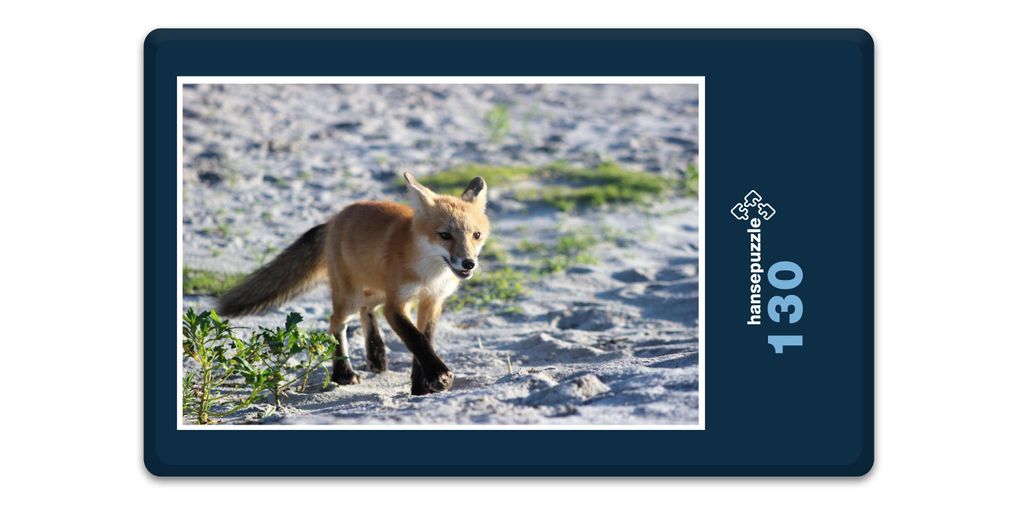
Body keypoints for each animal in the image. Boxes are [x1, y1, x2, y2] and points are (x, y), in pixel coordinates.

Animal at [217, 172, 490, 395]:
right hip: (351, 296)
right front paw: (437, 376)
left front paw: (421, 387)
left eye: (476, 235)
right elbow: (415, 340)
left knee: (366, 309)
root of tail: (334, 219)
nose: (468, 263)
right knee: (336, 322)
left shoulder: (432, 300)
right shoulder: (396, 303)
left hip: (376, 290)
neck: (430, 273)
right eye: (445, 235)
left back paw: (376, 355)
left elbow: (424, 340)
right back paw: (343, 373)